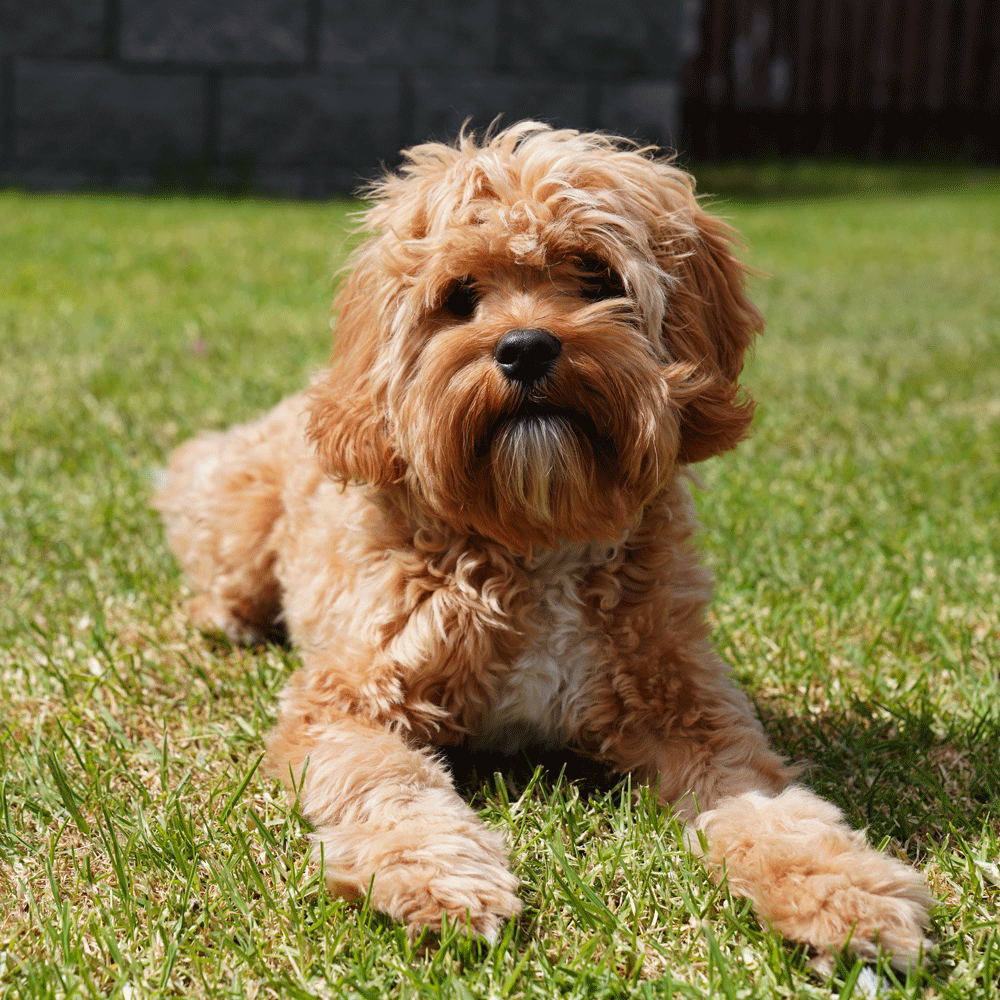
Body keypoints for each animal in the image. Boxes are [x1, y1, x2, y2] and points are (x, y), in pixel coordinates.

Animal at [154, 123, 928, 968]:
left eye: (593, 274)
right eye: (460, 296)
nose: (525, 348)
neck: (537, 535)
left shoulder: (689, 710)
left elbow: (774, 808)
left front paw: (843, 890)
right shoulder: (349, 703)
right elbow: (390, 789)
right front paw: (438, 879)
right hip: (235, 508)